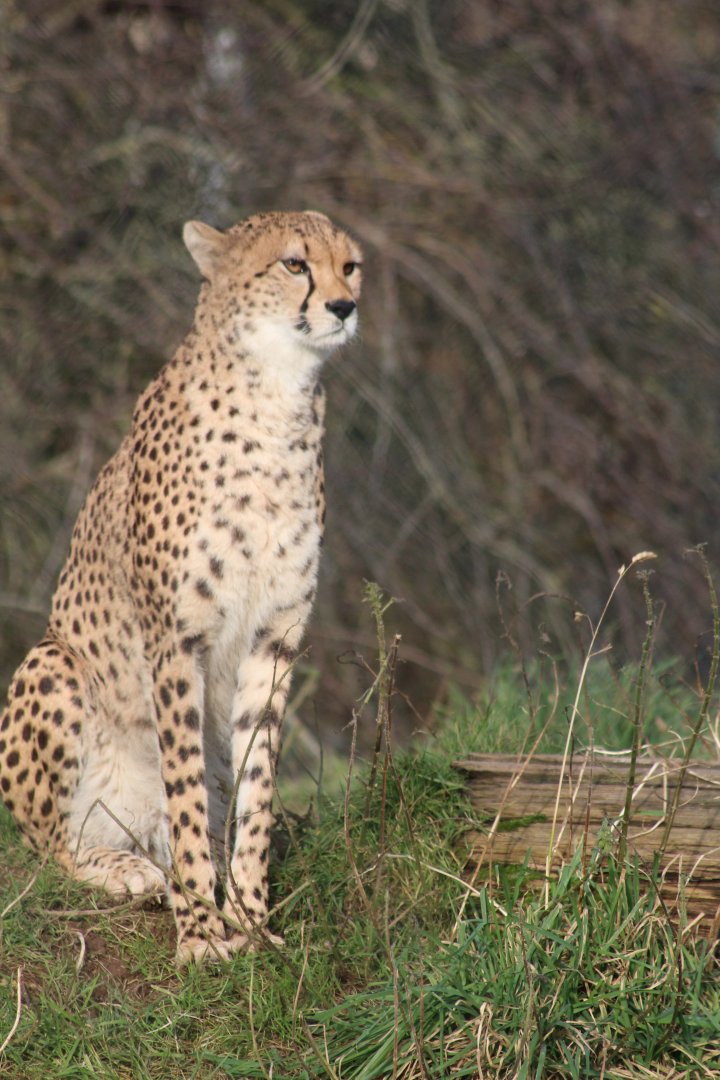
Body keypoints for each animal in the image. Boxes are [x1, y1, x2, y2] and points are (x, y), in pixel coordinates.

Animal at [0, 210, 362, 965]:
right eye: (294, 264)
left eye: (352, 266)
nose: (346, 307)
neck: (277, 394)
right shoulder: (177, 637)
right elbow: (187, 785)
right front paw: (200, 931)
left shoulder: (275, 636)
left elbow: (255, 783)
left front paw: (249, 917)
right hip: (53, 663)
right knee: (53, 850)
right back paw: (126, 871)